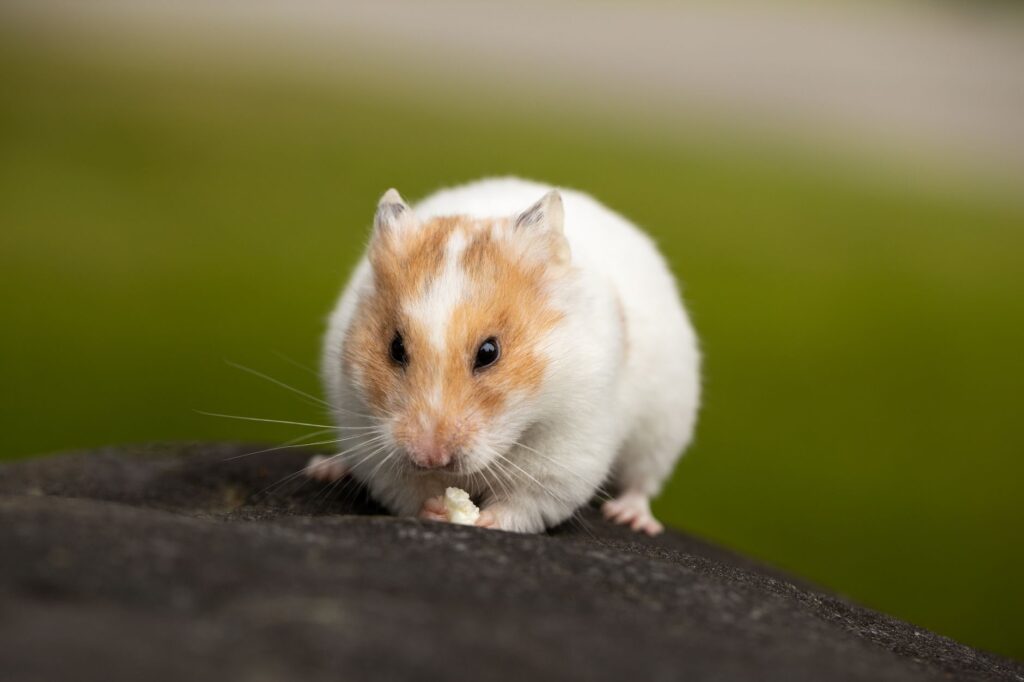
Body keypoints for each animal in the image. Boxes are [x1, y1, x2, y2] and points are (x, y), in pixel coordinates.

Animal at [313, 177, 700, 535]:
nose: (431, 457)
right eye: (396, 348)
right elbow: (406, 491)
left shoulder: (565, 453)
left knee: (642, 481)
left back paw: (631, 518)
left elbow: (524, 502)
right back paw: (326, 468)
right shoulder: (369, 437)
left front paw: (484, 520)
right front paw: (437, 509)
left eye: (489, 352)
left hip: (664, 427)